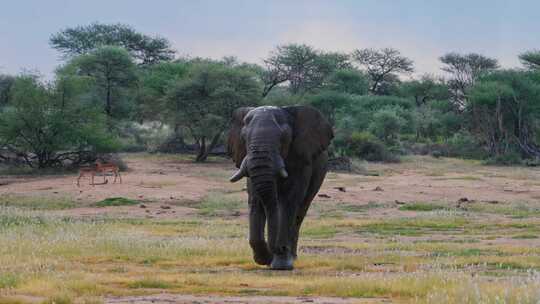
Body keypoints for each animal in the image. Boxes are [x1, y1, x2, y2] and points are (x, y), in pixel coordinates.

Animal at [228, 105, 334, 270]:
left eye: (283, 138)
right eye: (244, 138)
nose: (278, 249)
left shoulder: (301, 160)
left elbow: (289, 200)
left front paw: (281, 264)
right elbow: (256, 200)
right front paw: (264, 259)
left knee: (300, 211)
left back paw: (291, 258)